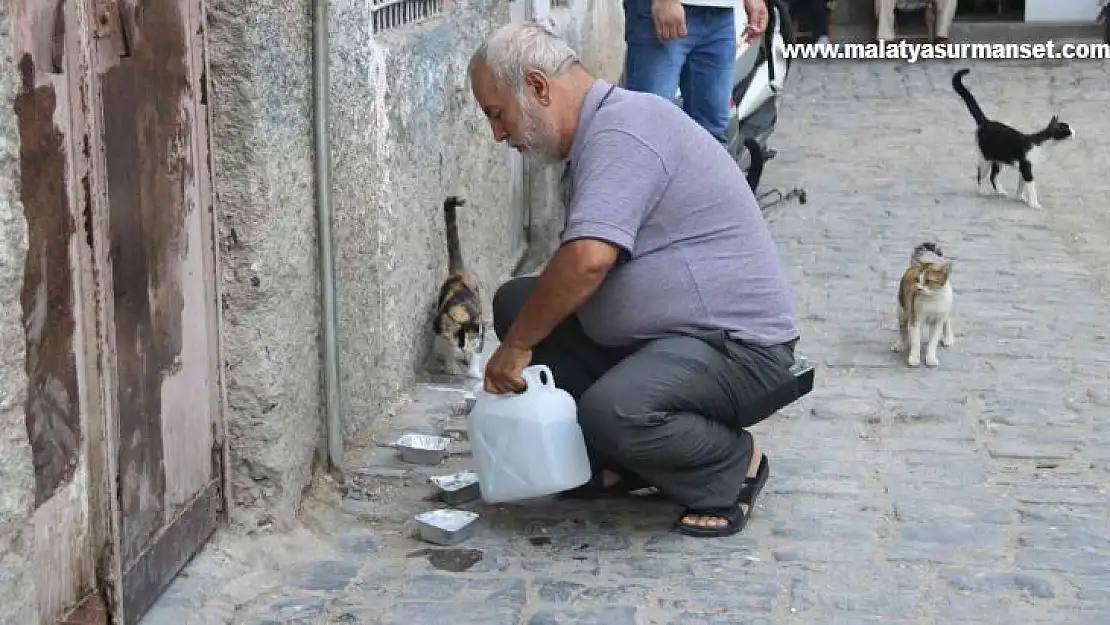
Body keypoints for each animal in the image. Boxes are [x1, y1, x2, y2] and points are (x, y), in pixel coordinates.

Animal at [432, 197, 486, 379]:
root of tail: (459, 272)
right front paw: (451, 366)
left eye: (474, 340)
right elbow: (447, 346)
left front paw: (474, 372)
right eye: (461, 342)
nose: (465, 351)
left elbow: (477, 352)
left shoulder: (480, 332)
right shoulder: (440, 326)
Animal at [950, 68, 1070, 208]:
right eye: (1067, 128)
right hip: (986, 158)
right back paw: (983, 191)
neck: (1041, 144)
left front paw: (1019, 197)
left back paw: (1001, 192)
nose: (1074, 131)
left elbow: (1021, 185)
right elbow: (1031, 188)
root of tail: (986, 121)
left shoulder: (1024, 169)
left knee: (993, 176)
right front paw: (1034, 204)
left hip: (999, 159)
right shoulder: (1027, 168)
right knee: (981, 174)